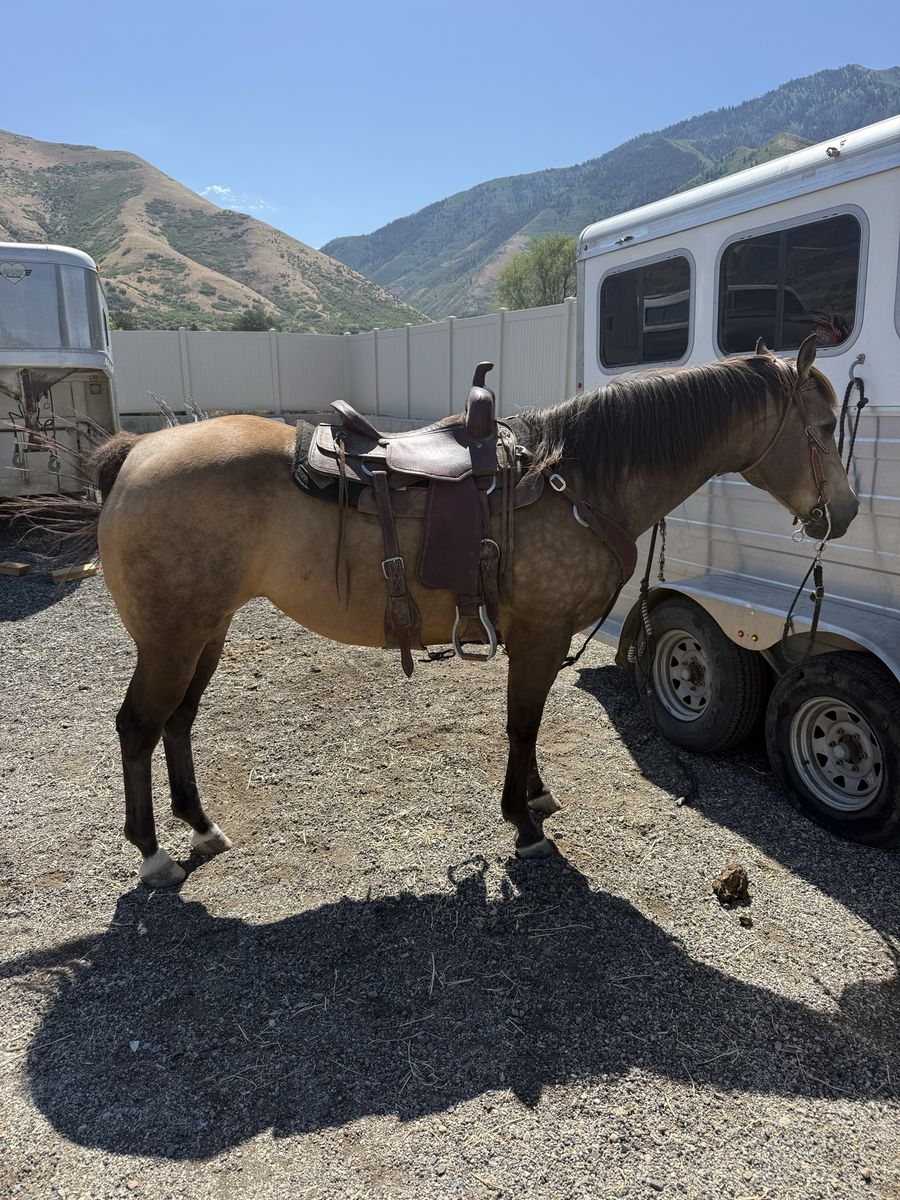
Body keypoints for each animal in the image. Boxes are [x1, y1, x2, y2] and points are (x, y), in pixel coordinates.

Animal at [89, 335, 856, 887]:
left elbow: (531, 726)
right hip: (171, 639)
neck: (575, 481)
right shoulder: (540, 637)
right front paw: (524, 823)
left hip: (206, 632)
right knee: (138, 727)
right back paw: (153, 854)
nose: (843, 514)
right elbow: (522, 725)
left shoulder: (539, 639)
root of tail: (139, 451)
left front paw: (537, 798)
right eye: (822, 426)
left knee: (177, 723)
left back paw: (199, 825)